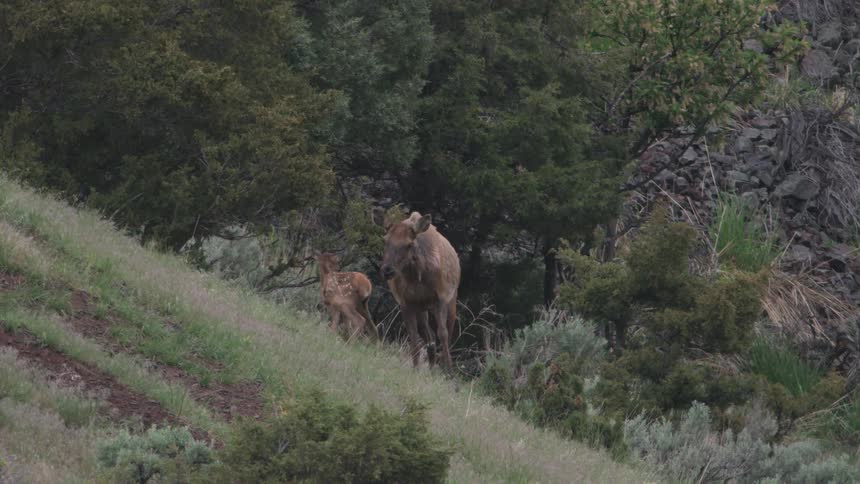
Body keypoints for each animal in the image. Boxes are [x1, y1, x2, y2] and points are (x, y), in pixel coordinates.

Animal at [381, 212, 460, 370]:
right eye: (385, 240)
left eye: (409, 244)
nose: (387, 270)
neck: (418, 279)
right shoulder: (406, 302)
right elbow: (413, 335)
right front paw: (415, 368)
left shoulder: (441, 298)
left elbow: (443, 333)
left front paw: (448, 369)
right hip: (422, 307)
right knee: (428, 335)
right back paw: (431, 365)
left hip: (452, 299)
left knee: (446, 332)